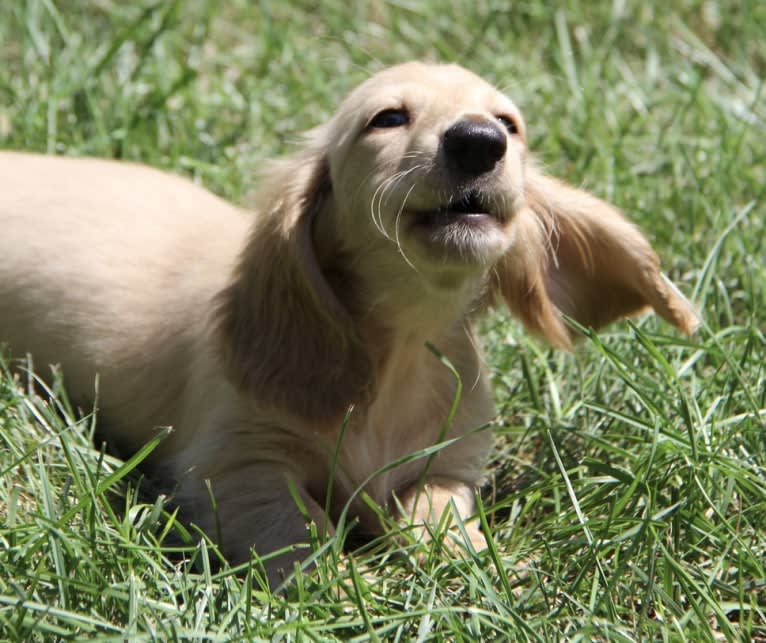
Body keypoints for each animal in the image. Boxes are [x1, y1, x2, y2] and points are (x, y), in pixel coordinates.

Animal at [0, 63, 696, 588]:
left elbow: (436, 514)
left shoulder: (449, 464)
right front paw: (343, 586)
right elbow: (301, 529)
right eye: (387, 118)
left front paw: (472, 564)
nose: (479, 140)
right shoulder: (236, 465)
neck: (399, 350)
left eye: (509, 124)